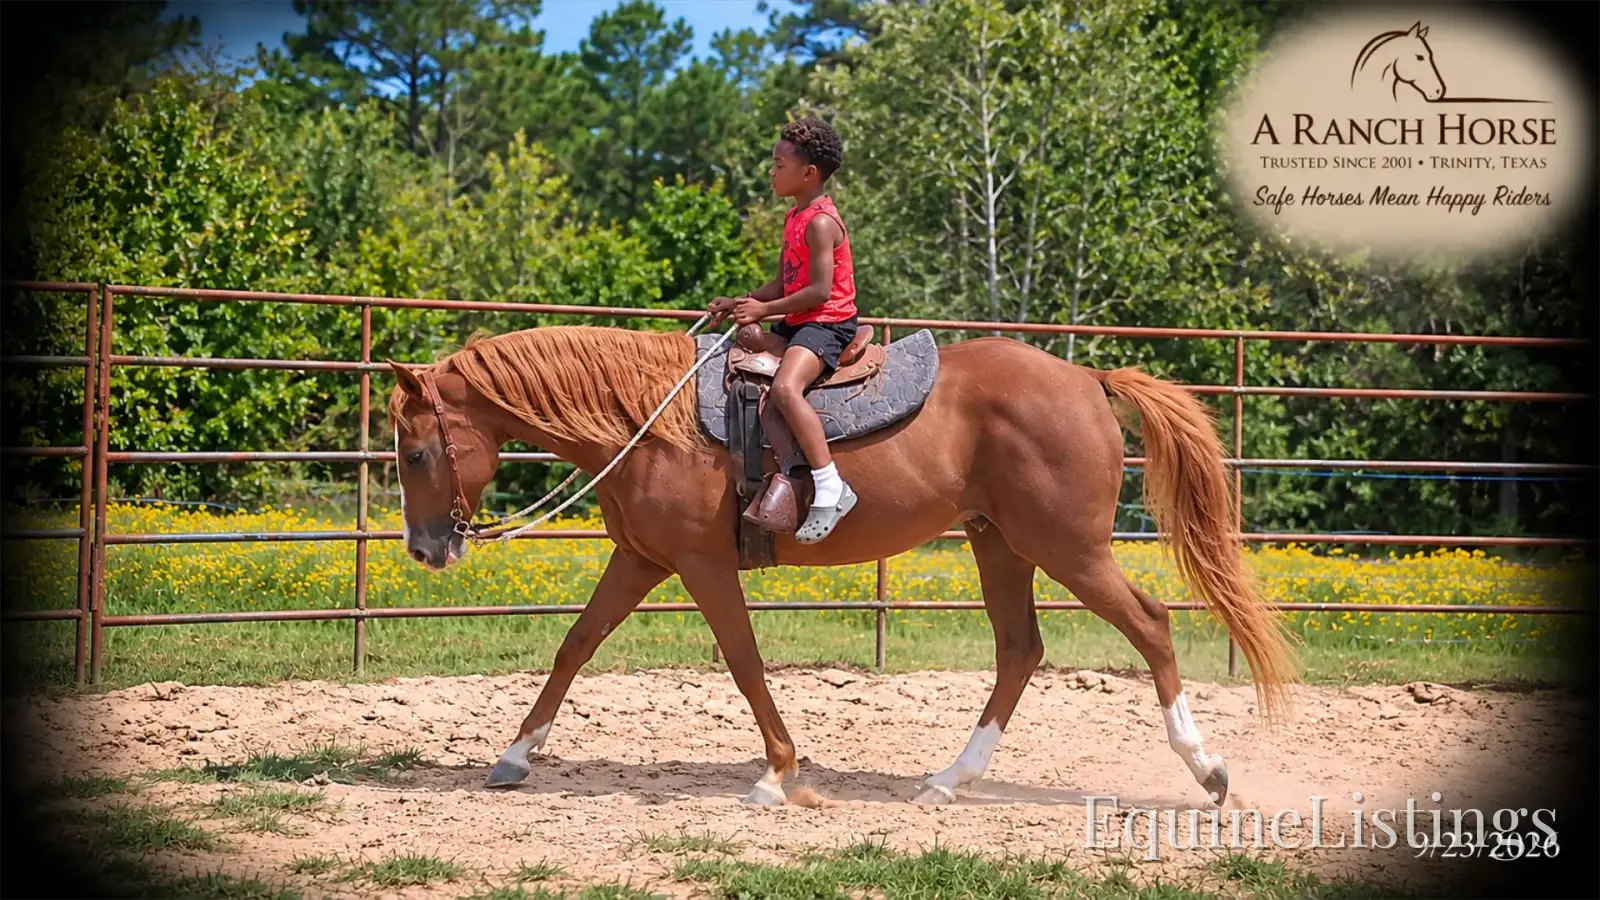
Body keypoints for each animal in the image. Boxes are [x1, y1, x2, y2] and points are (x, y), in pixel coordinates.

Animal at [384, 321, 1300, 808]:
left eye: (418, 451)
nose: (426, 550)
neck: (647, 421)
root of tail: (1085, 378)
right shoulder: (641, 560)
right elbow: (575, 646)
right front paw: (514, 756)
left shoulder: (700, 565)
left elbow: (745, 663)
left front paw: (778, 774)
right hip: (1000, 543)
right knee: (1020, 649)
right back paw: (948, 779)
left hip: (1066, 548)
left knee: (1149, 624)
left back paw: (1209, 769)